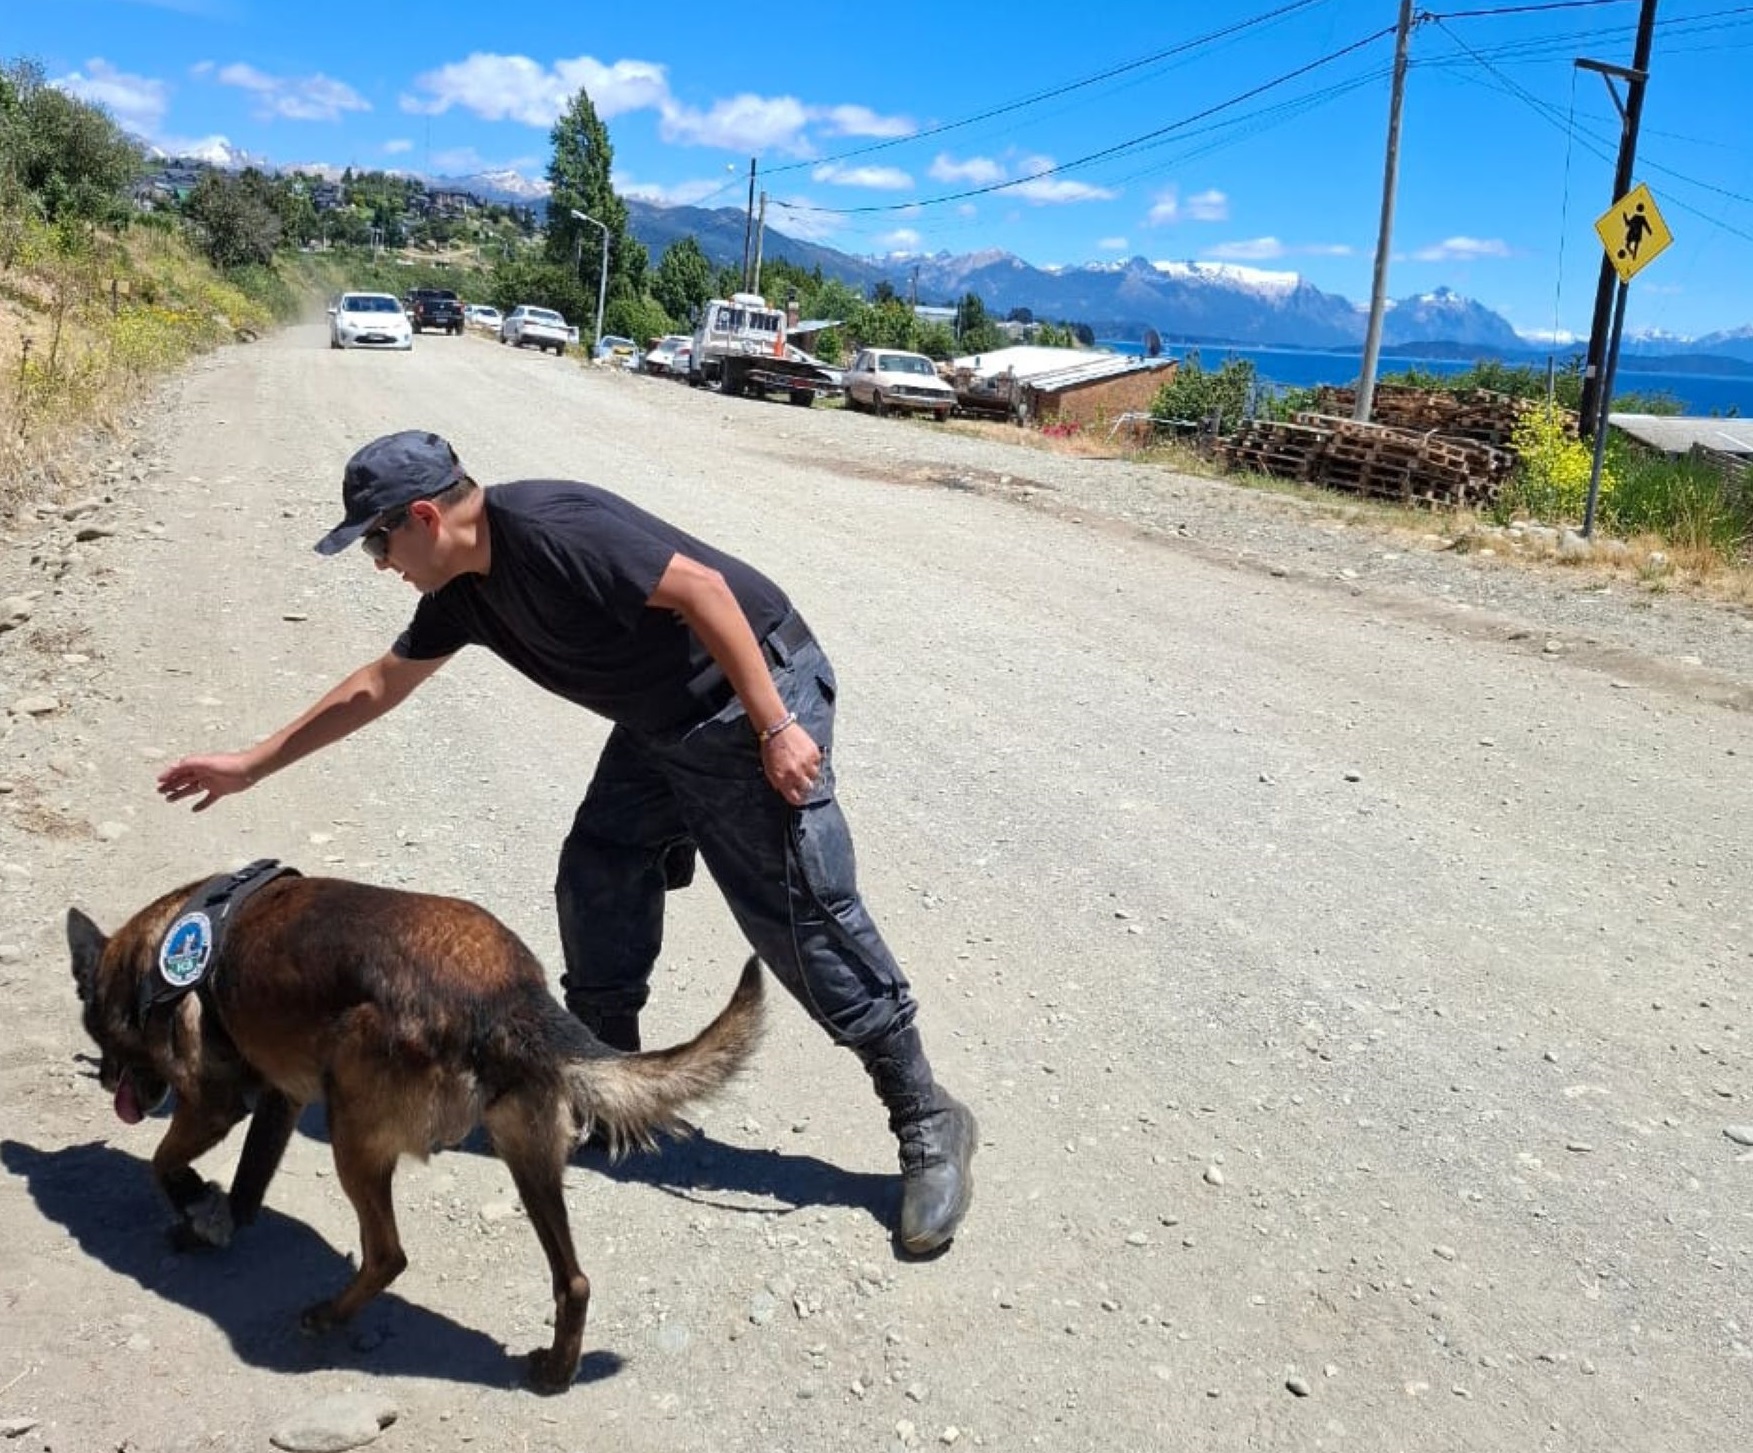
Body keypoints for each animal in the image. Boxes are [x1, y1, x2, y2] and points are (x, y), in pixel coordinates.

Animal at [64, 865, 764, 1388]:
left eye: (96, 1029)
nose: (105, 1083)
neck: (155, 949)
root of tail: (511, 1002)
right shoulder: (281, 1102)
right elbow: (247, 1183)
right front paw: (217, 1221)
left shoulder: (215, 1101)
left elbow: (164, 1163)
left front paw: (192, 1205)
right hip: (527, 1155)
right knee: (575, 1281)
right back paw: (555, 1370)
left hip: (353, 1127)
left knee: (387, 1254)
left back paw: (328, 1316)